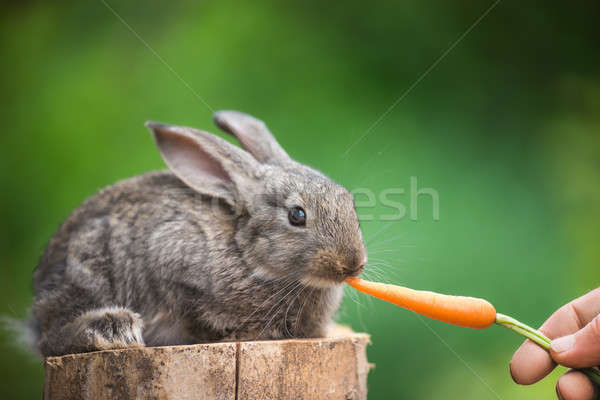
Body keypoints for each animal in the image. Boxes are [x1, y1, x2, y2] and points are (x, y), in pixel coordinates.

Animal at [30, 110, 368, 356]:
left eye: (349, 202)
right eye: (297, 215)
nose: (352, 264)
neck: (246, 255)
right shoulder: (171, 264)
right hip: (89, 267)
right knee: (50, 340)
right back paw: (110, 329)